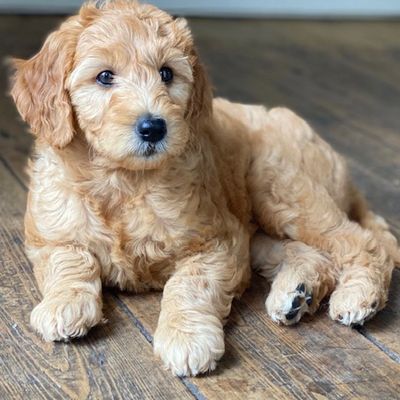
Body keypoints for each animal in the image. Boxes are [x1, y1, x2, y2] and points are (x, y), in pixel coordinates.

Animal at [10, 0, 400, 377]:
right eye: (105, 76)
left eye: (167, 73)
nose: (153, 127)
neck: (124, 180)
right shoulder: (49, 234)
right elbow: (69, 260)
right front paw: (64, 304)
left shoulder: (218, 241)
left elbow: (189, 284)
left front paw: (186, 338)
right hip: (260, 227)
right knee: (313, 253)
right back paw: (296, 295)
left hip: (278, 186)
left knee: (362, 241)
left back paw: (358, 296)